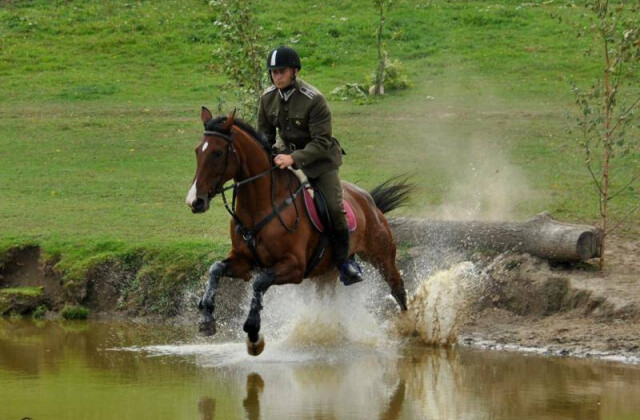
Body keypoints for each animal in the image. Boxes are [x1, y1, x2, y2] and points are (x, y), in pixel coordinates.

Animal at [188, 107, 412, 354]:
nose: (195, 201)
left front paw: (253, 330)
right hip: (326, 272)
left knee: (398, 288)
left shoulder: (294, 266)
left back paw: (409, 328)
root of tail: (369, 200)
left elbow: (259, 283)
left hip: (381, 254)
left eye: (218, 153)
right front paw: (206, 318)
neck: (262, 206)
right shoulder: (245, 261)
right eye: (198, 151)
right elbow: (216, 269)